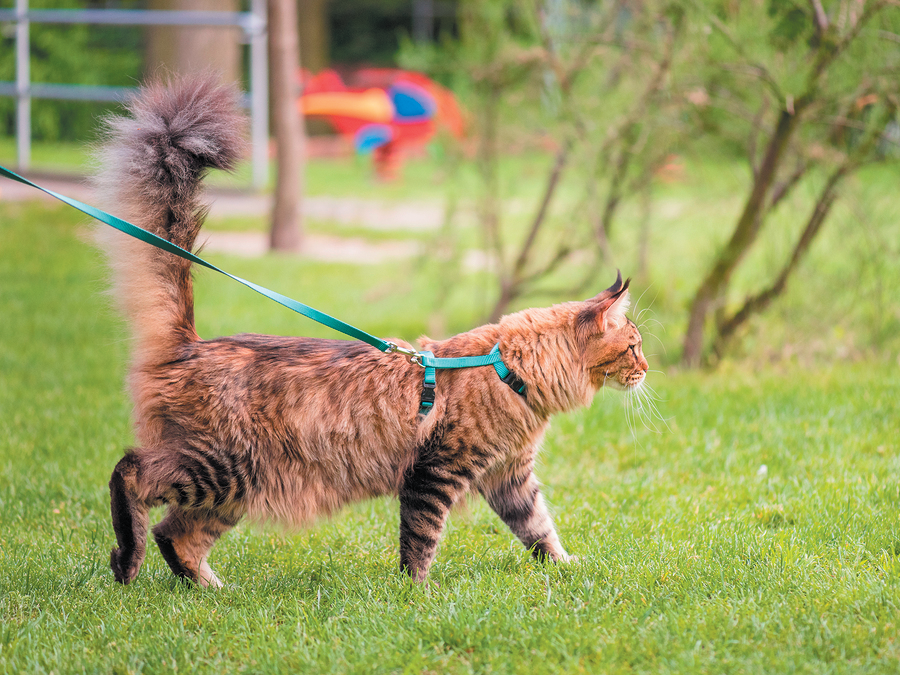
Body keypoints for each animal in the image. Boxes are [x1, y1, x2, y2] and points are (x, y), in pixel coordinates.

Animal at [96, 75, 648, 588]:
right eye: (635, 347)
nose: (646, 369)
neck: (506, 368)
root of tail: (190, 344)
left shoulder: (509, 476)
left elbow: (539, 529)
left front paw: (568, 568)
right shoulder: (437, 471)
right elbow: (422, 538)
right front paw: (418, 593)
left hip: (231, 491)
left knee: (177, 535)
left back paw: (211, 590)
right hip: (220, 467)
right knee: (130, 474)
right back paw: (127, 560)